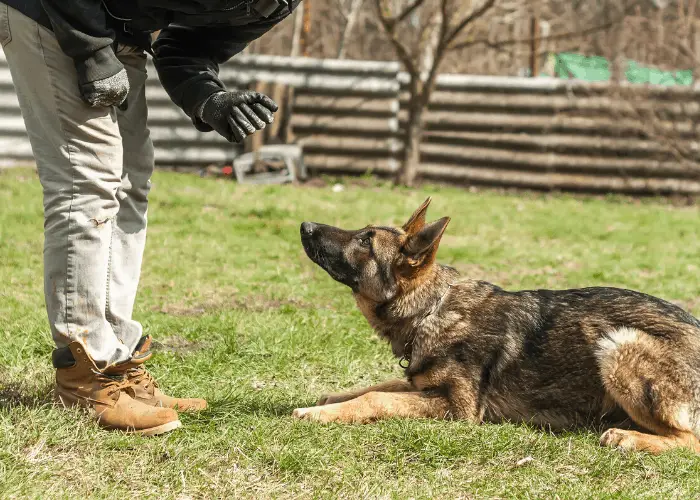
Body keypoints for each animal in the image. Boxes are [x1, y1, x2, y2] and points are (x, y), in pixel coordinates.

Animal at [292, 197, 700, 456]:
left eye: (365, 241)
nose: (305, 224)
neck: (431, 310)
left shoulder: (458, 409)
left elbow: (377, 398)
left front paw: (316, 414)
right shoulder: (421, 385)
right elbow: (377, 387)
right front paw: (331, 400)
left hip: (618, 344)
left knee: (690, 441)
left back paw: (628, 439)